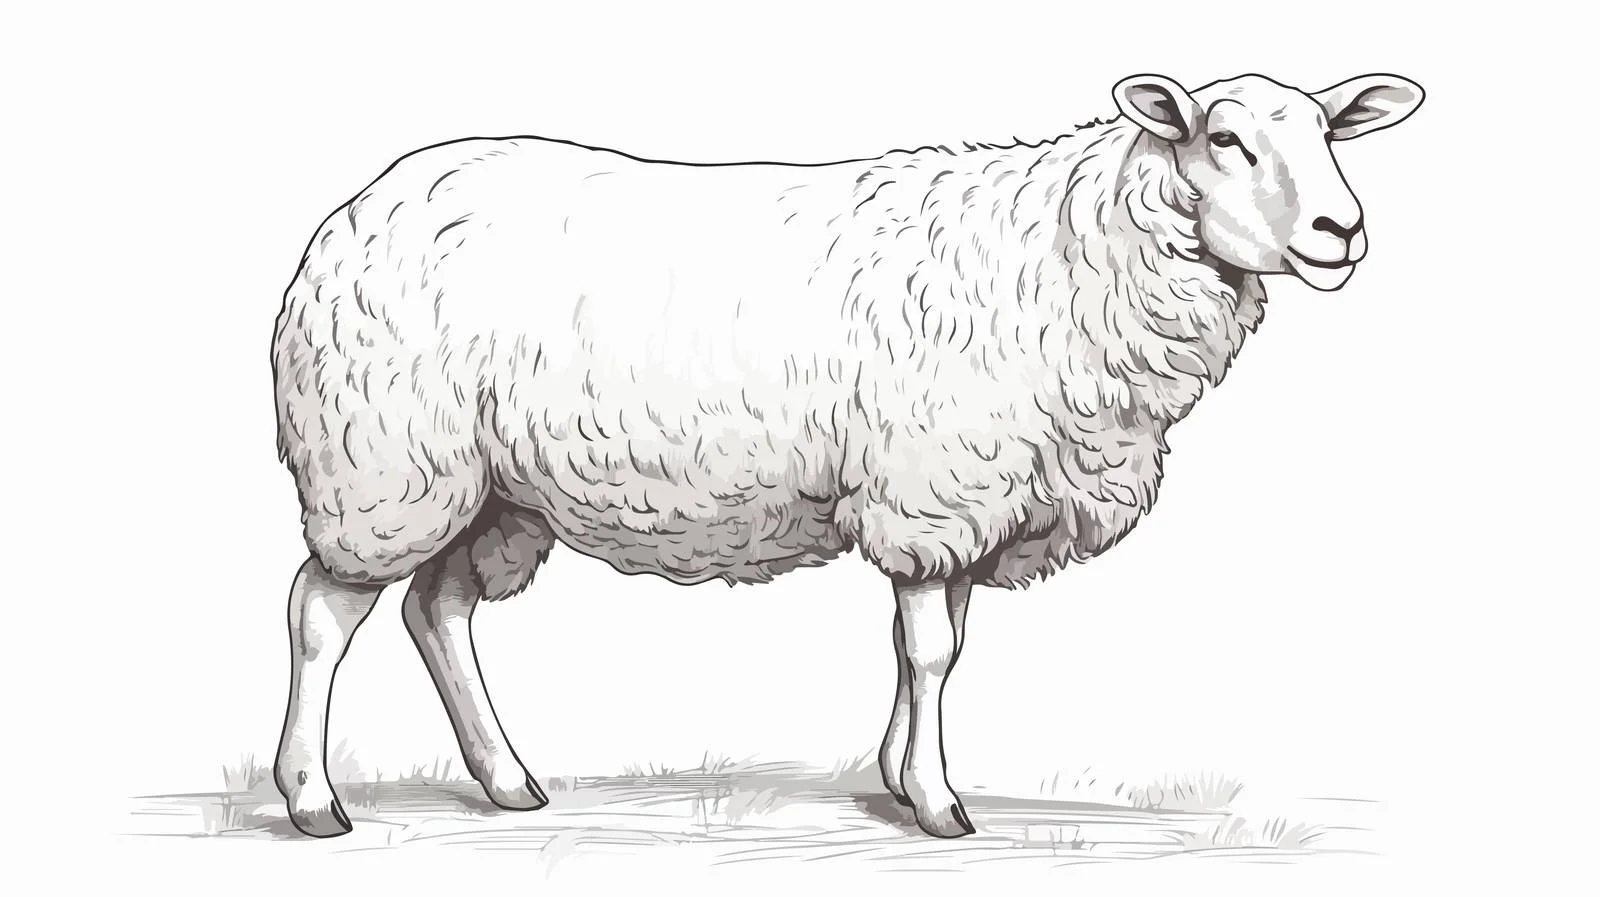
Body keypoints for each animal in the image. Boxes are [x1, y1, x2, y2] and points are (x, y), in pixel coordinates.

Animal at [270, 72, 1425, 839]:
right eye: (1225, 138)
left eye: (1331, 132)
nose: (1343, 230)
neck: (1065, 259)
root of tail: (356, 212)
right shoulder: (933, 486)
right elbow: (931, 650)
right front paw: (940, 804)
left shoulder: (967, 499)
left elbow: (934, 649)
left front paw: (901, 774)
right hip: (381, 461)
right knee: (323, 613)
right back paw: (314, 801)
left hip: (490, 487)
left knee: (439, 611)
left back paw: (506, 780)